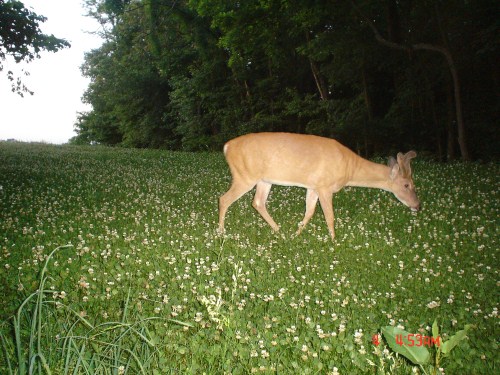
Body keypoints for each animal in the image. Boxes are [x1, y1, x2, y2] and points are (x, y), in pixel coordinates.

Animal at [219, 134, 418, 242]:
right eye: (407, 185)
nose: (418, 205)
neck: (350, 168)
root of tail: (226, 146)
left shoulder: (313, 186)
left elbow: (309, 212)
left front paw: (296, 234)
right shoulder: (325, 186)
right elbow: (329, 216)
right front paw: (334, 241)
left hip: (264, 180)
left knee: (258, 202)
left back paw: (279, 231)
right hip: (245, 175)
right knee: (224, 199)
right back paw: (220, 232)